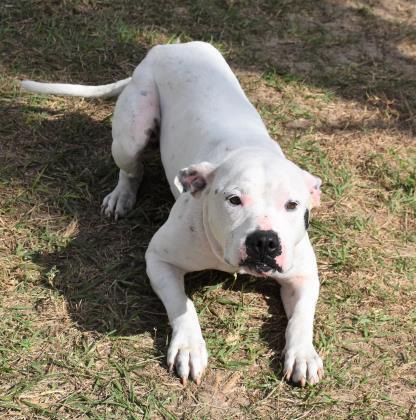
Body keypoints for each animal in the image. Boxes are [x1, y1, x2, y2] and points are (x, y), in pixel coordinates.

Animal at [21, 41, 324, 388]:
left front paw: (303, 354)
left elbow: (301, 318)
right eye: (233, 200)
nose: (264, 241)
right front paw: (189, 347)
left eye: (292, 205)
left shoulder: (303, 276)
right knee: (131, 169)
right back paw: (122, 195)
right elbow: (182, 304)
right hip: (132, 131)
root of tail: (168, 46)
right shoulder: (159, 259)